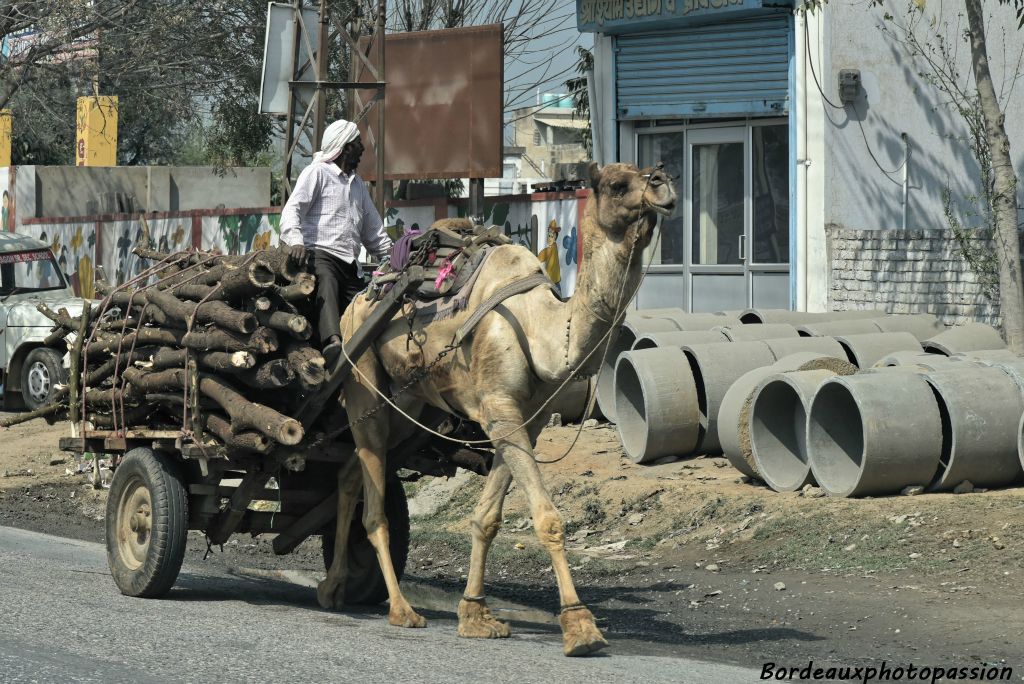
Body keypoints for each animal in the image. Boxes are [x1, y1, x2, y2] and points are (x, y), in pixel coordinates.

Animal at [315, 161, 675, 655]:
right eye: (618, 184)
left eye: (648, 172)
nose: (663, 184)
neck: (541, 328)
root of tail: (357, 300)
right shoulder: (501, 407)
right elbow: (547, 517)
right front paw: (580, 627)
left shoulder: (526, 418)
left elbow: (486, 518)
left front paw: (475, 614)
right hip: (362, 381)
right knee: (373, 506)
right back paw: (401, 608)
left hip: (408, 406)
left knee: (351, 473)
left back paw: (334, 588)